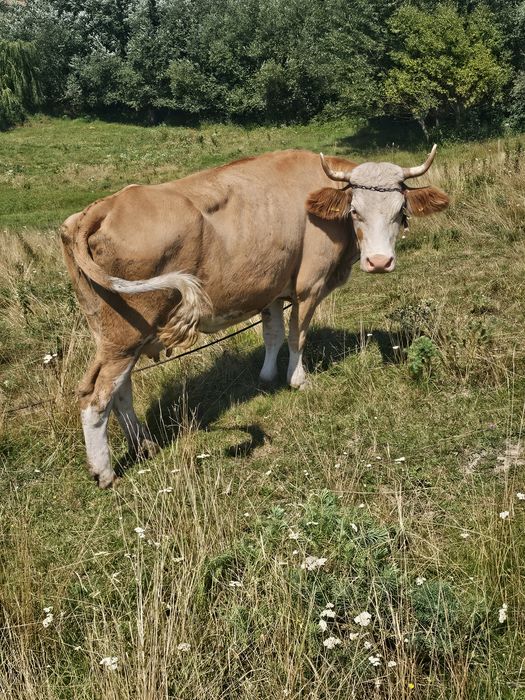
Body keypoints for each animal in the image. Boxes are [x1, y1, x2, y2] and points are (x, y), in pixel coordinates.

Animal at [61, 146, 448, 488]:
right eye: (355, 211)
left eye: (400, 210)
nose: (379, 262)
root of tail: (102, 208)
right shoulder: (309, 284)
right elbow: (297, 334)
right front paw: (297, 379)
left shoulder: (271, 287)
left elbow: (272, 334)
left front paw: (267, 375)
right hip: (124, 336)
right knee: (95, 398)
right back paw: (104, 472)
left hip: (116, 333)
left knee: (120, 390)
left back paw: (144, 445)